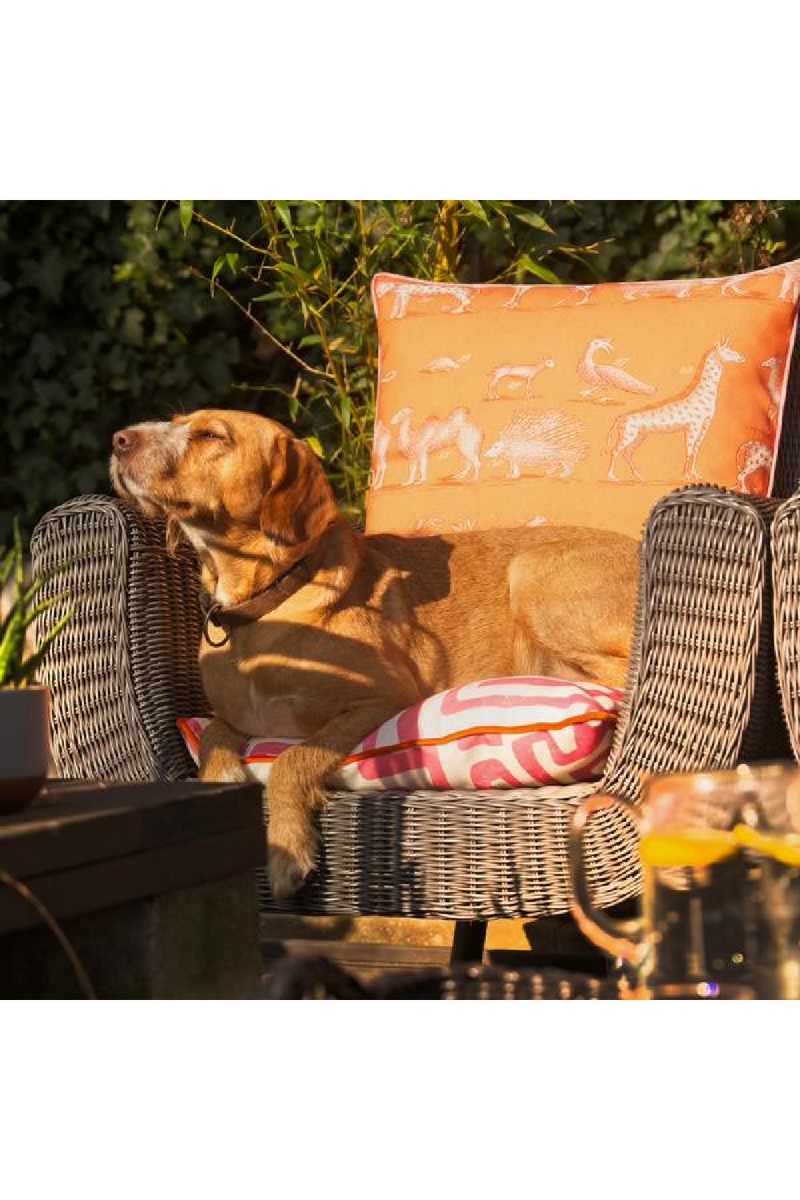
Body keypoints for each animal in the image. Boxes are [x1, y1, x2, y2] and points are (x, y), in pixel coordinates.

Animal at [109, 408, 642, 897]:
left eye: (211, 435)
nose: (118, 439)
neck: (264, 605)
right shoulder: (232, 717)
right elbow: (213, 749)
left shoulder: (380, 700)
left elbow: (293, 757)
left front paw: (288, 848)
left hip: (529, 572)